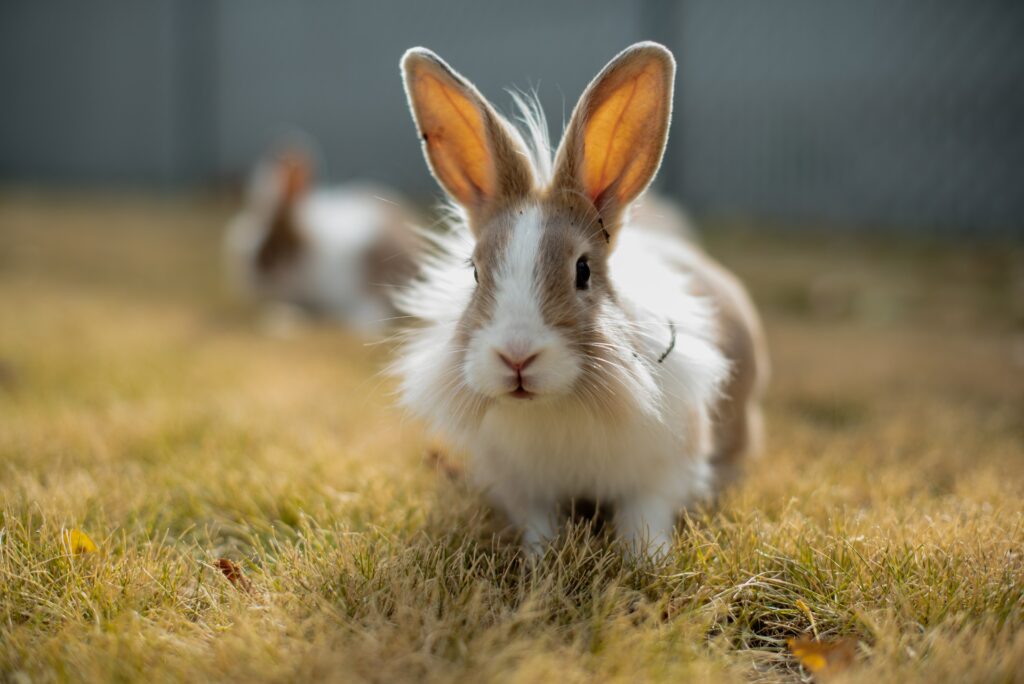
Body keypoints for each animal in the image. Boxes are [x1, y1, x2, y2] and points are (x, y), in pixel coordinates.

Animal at [391, 41, 770, 557]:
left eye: (583, 271)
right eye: (474, 272)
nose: (517, 357)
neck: (554, 405)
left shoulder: (663, 473)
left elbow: (644, 517)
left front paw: (648, 561)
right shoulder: (523, 489)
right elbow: (538, 525)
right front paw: (539, 560)